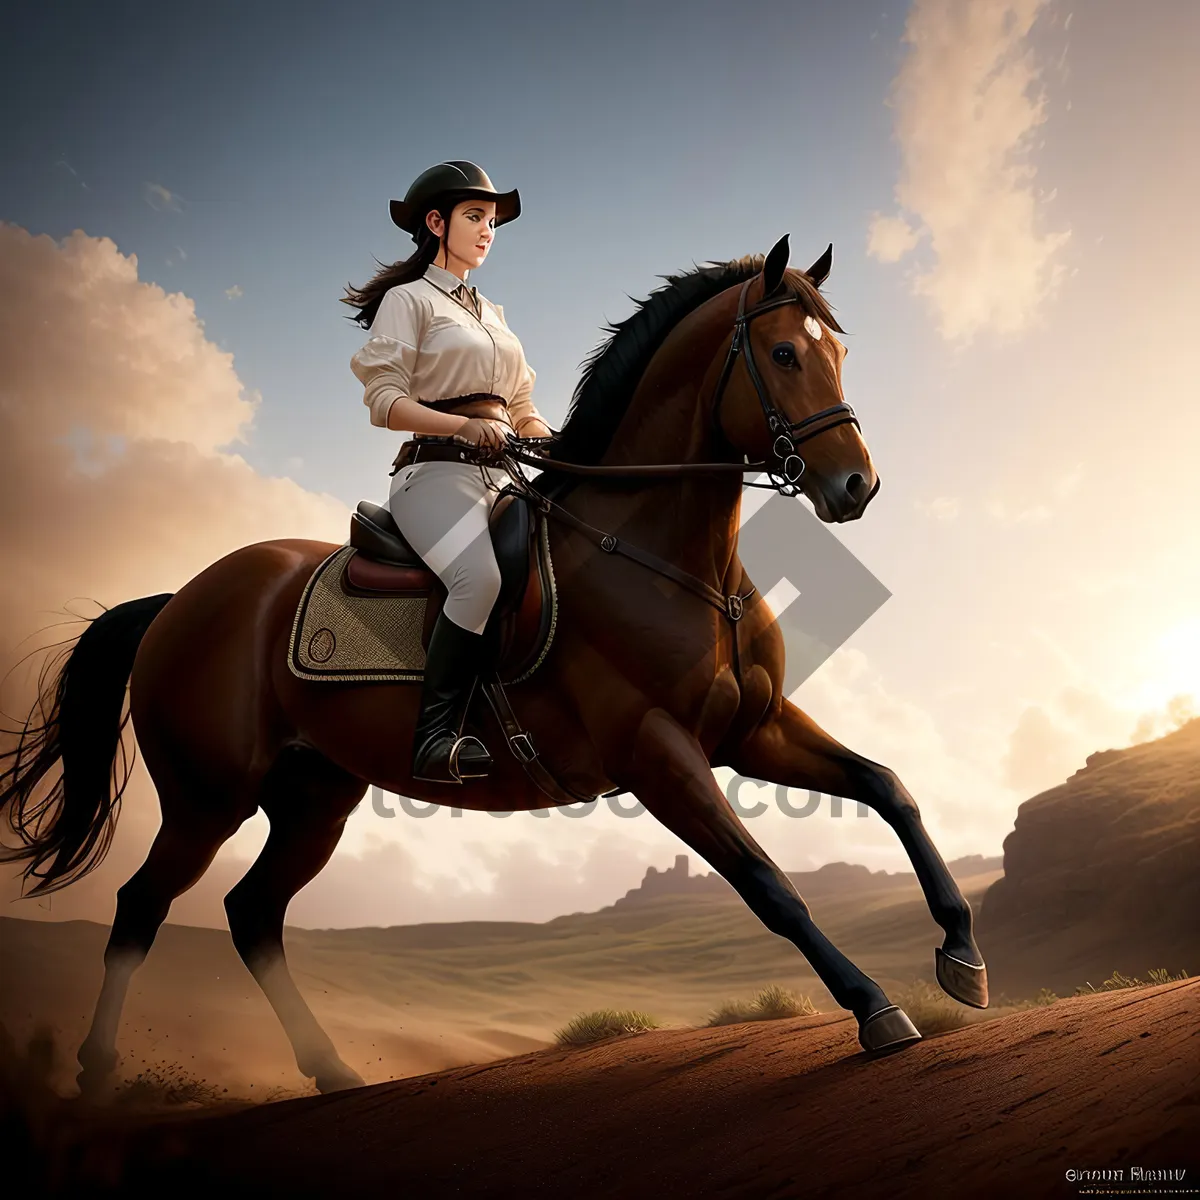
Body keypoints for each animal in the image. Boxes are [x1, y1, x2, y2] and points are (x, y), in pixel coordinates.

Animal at [2, 234, 984, 1099]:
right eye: (783, 353)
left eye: (838, 353)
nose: (857, 487)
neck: (663, 554)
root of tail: (180, 599)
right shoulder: (658, 753)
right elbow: (768, 884)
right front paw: (875, 1009)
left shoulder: (754, 730)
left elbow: (890, 789)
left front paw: (962, 957)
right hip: (209, 797)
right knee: (141, 907)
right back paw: (97, 1077)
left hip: (314, 798)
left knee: (252, 914)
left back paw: (332, 1072)